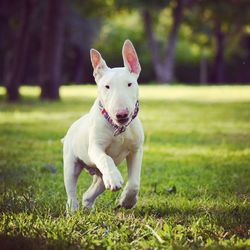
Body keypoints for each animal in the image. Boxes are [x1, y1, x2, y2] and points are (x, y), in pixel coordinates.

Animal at [62, 40, 144, 212]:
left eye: (130, 84)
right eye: (106, 86)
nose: (122, 114)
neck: (119, 129)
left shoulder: (136, 150)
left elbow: (134, 183)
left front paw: (127, 201)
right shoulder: (95, 148)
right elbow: (105, 157)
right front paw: (114, 178)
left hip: (99, 176)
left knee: (91, 191)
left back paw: (88, 205)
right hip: (71, 164)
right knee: (71, 190)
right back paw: (72, 210)